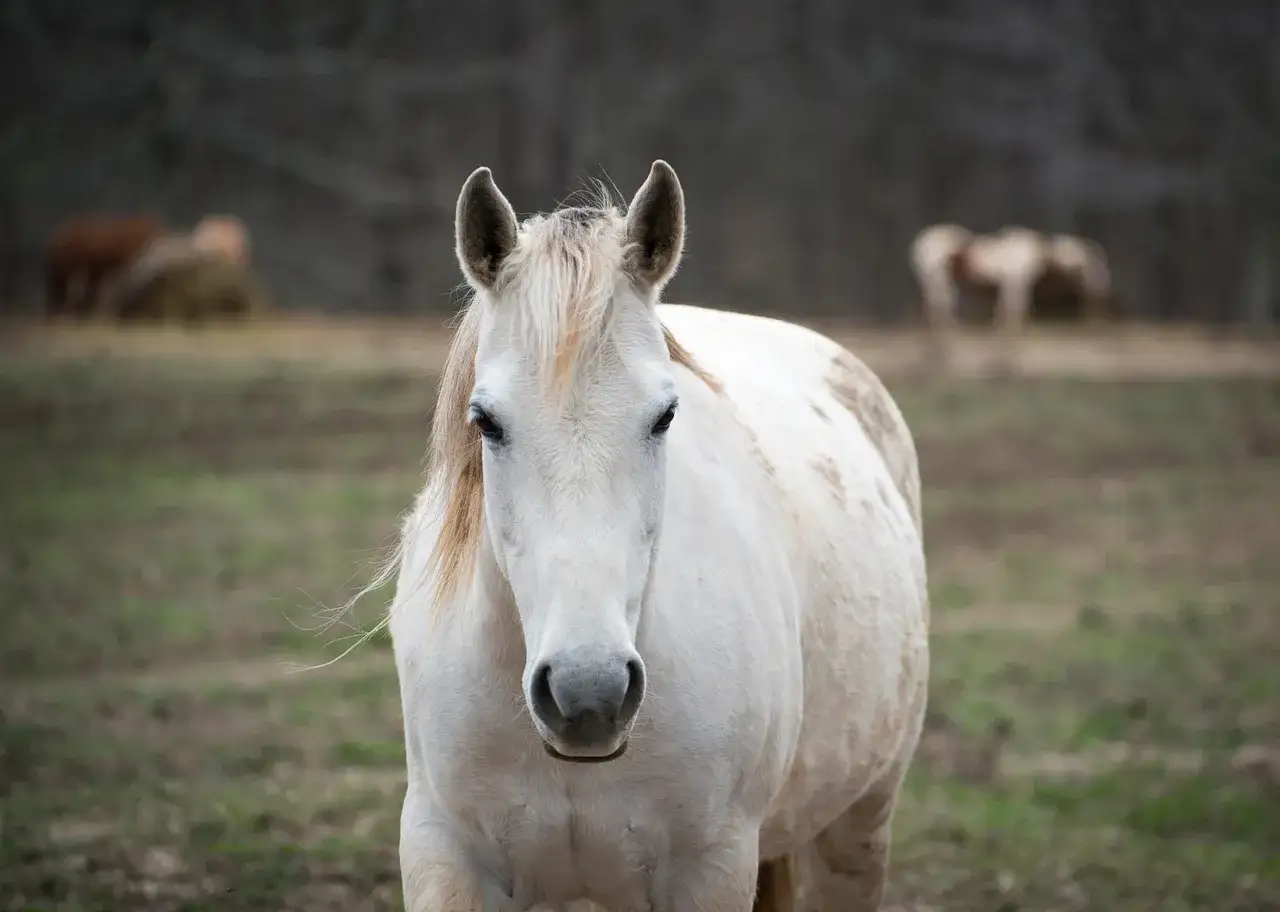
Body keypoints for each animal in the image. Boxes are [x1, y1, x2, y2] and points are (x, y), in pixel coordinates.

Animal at [381, 161, 930, 912]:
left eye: (665, 414)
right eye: (485, 420)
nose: (588, 693)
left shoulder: (713, 870)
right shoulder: (445, 858)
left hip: (857, 825)